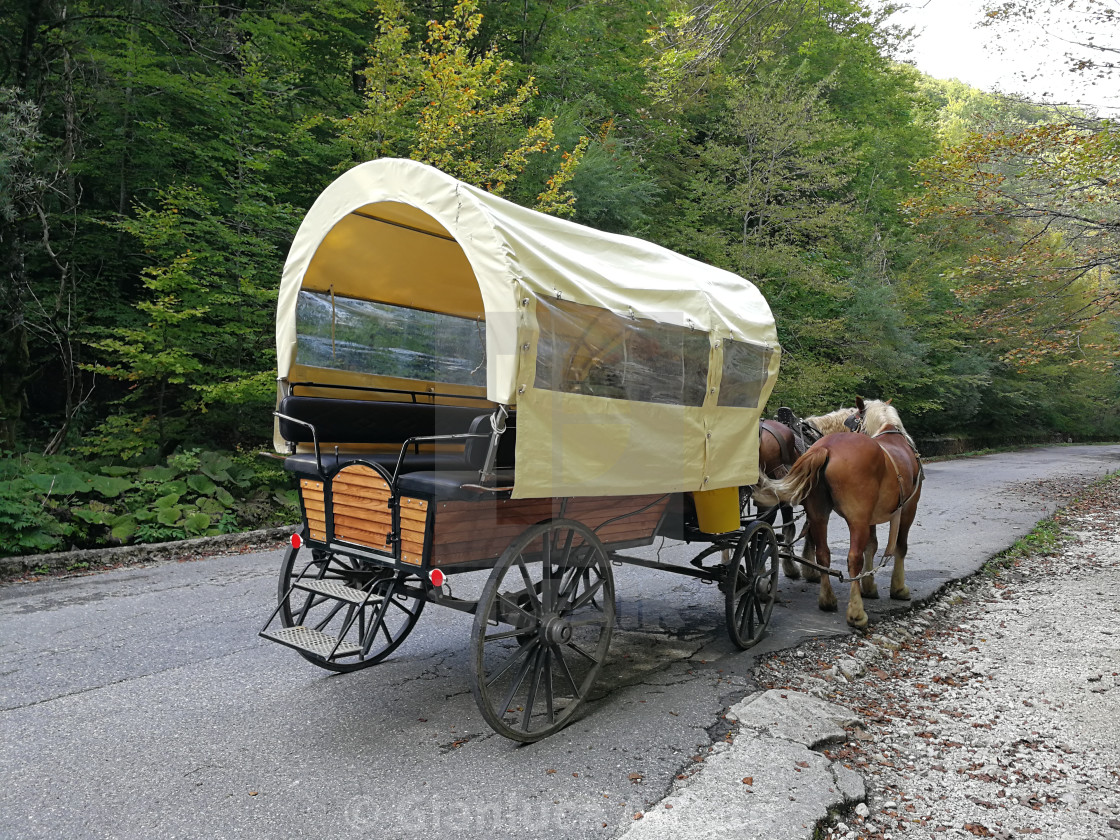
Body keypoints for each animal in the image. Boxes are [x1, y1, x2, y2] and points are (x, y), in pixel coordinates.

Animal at [766, 400, 922, 631]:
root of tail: (826, 447)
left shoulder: (871, 517)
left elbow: (872, 546)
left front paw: (869, 587)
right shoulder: (909, 507)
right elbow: (900, 547)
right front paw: (898, 589)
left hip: (820, 514)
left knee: (823, 553)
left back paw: (827, 599)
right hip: (857, 520)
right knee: (853, 558)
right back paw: (856, 613)